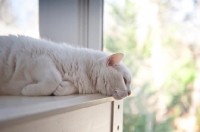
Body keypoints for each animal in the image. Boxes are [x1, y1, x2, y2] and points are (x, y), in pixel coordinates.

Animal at [0, 35, 131, 99]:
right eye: (124, 80)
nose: (130, 93)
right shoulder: (38, 59)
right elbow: (54, 78)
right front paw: (27, 90)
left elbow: (69, 86)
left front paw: (60, 89)